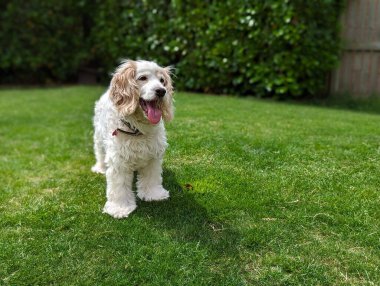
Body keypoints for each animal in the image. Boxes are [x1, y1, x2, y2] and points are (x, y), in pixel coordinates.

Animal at [91, 59, 174, 218]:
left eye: (162, 81)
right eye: (143, 78)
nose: (162, 91)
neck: (137, 130)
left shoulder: (153, 156)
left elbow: (152, 177)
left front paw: (154, 194)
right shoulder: (118, 161)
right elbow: (119, 187)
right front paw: (119, 208)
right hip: (98, 137)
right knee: (99, 153)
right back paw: (100, 168)